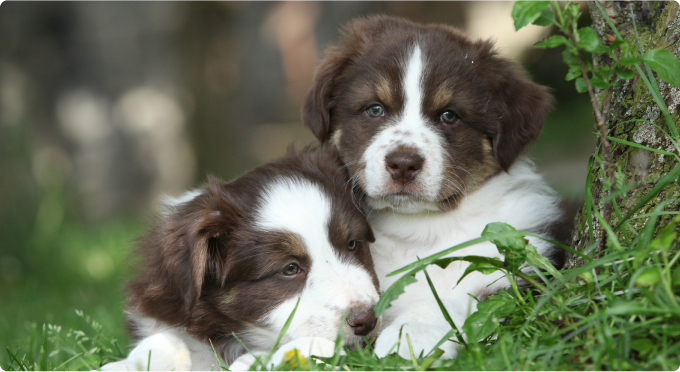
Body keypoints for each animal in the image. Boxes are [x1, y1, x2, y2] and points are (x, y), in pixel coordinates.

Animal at [302, 16, 564, 360]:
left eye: (449, 116)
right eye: (375, 109)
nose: (403, 163)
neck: (423, 230)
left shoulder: (521, 276)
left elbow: (461, 301)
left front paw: (409, 333)